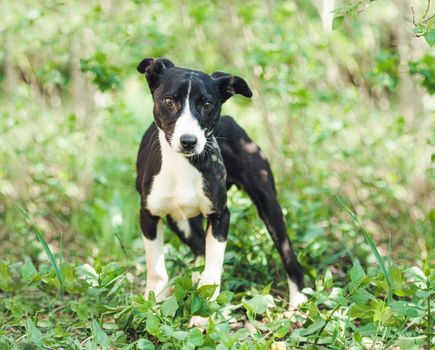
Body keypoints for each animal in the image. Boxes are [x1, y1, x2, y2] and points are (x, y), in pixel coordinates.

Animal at [135, 58, 308, 326]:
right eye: (169, 101)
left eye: (207, 104)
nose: (189, 141)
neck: (184, 166)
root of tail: (230, 120)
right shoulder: (149, 216)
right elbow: (157, 270)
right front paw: (153, 307)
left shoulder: (220, 217)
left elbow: (212, 271)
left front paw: (201, 316)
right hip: (179, 221)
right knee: (197, 247)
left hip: (269, 205)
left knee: (289, 256)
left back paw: (297, 302)